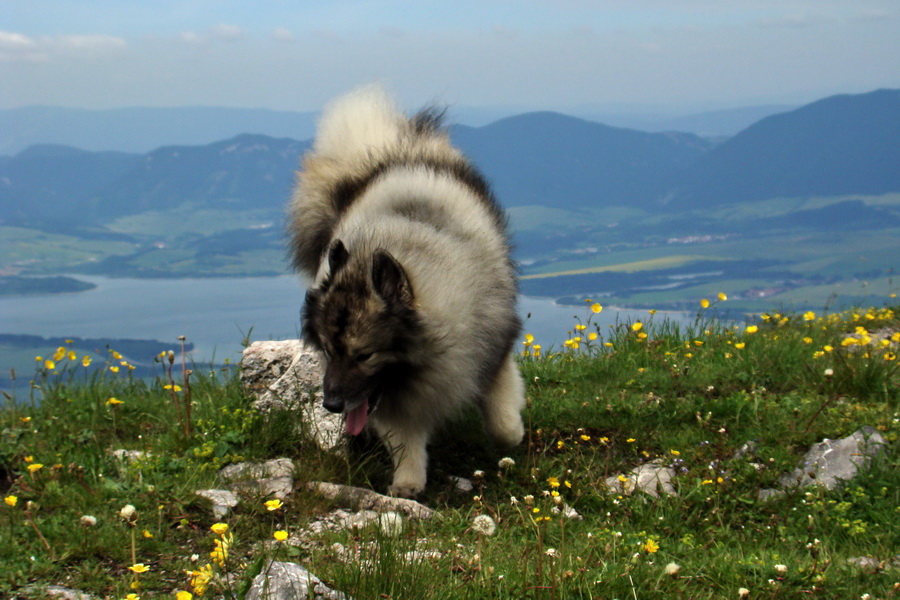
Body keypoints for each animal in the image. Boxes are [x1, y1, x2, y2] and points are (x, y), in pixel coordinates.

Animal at [288, 85, 528, 496]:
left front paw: (513, 434)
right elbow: (404, 437)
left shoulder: (492, 349)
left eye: (365, 355)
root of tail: (387, 152)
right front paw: (407, 482)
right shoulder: (388, 399)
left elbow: (501, 421)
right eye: (329, 350)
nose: (332, 404)